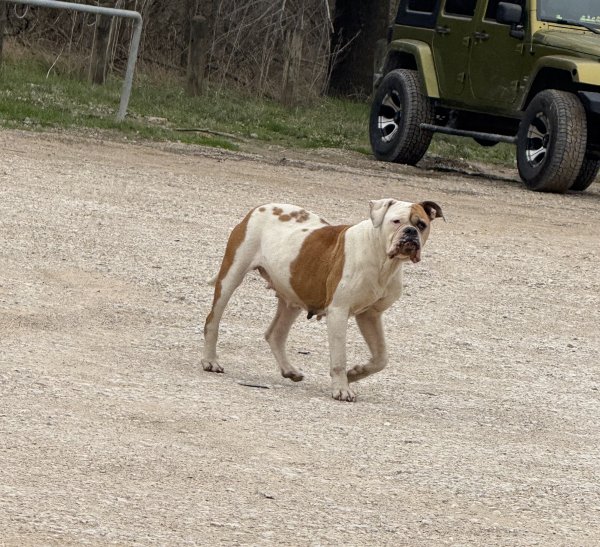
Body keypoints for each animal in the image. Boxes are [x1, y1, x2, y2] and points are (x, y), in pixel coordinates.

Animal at [204, 199, 442, 400]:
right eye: (396, 221)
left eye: (421, 224)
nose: (410, 232)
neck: (383, 260)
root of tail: (259, 208)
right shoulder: (339, 312)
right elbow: (339, 358)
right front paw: (342, 389)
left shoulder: (370, 315)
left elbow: (381, 357)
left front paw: (355, 373)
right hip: (231, 277)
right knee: (212, 320)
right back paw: (210, 361)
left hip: (293, 293)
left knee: (275, 334)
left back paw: (289, 370)